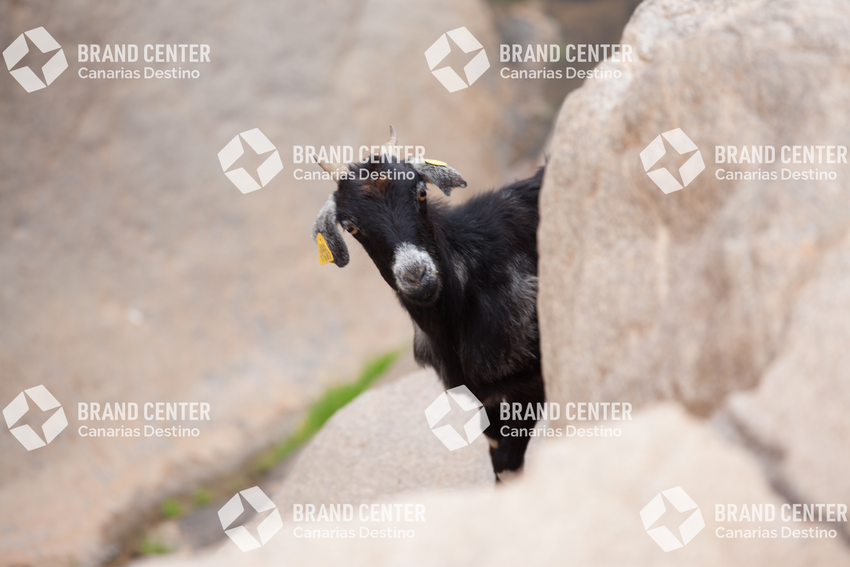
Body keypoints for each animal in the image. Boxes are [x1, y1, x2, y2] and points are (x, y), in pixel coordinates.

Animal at [311, 127, 545, 477]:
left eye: (421, 193)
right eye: (351, 226)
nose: (416, 275)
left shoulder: (530, 383)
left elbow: (507, 464)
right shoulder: (481, 394)